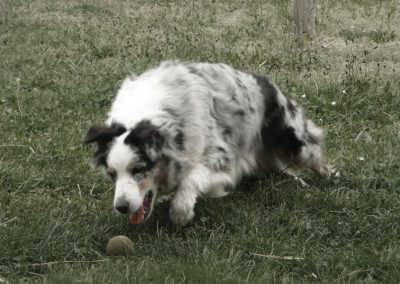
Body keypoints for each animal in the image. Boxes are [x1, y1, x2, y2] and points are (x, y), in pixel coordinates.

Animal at [83, 61, 328, 227]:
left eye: (138, 169)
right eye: (112, 174)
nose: (121, 207)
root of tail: (266, 82)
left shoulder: (220, 156)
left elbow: (189, 183)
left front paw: (181, 215)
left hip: (293, 139)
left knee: (314, 154)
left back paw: (327, 176)